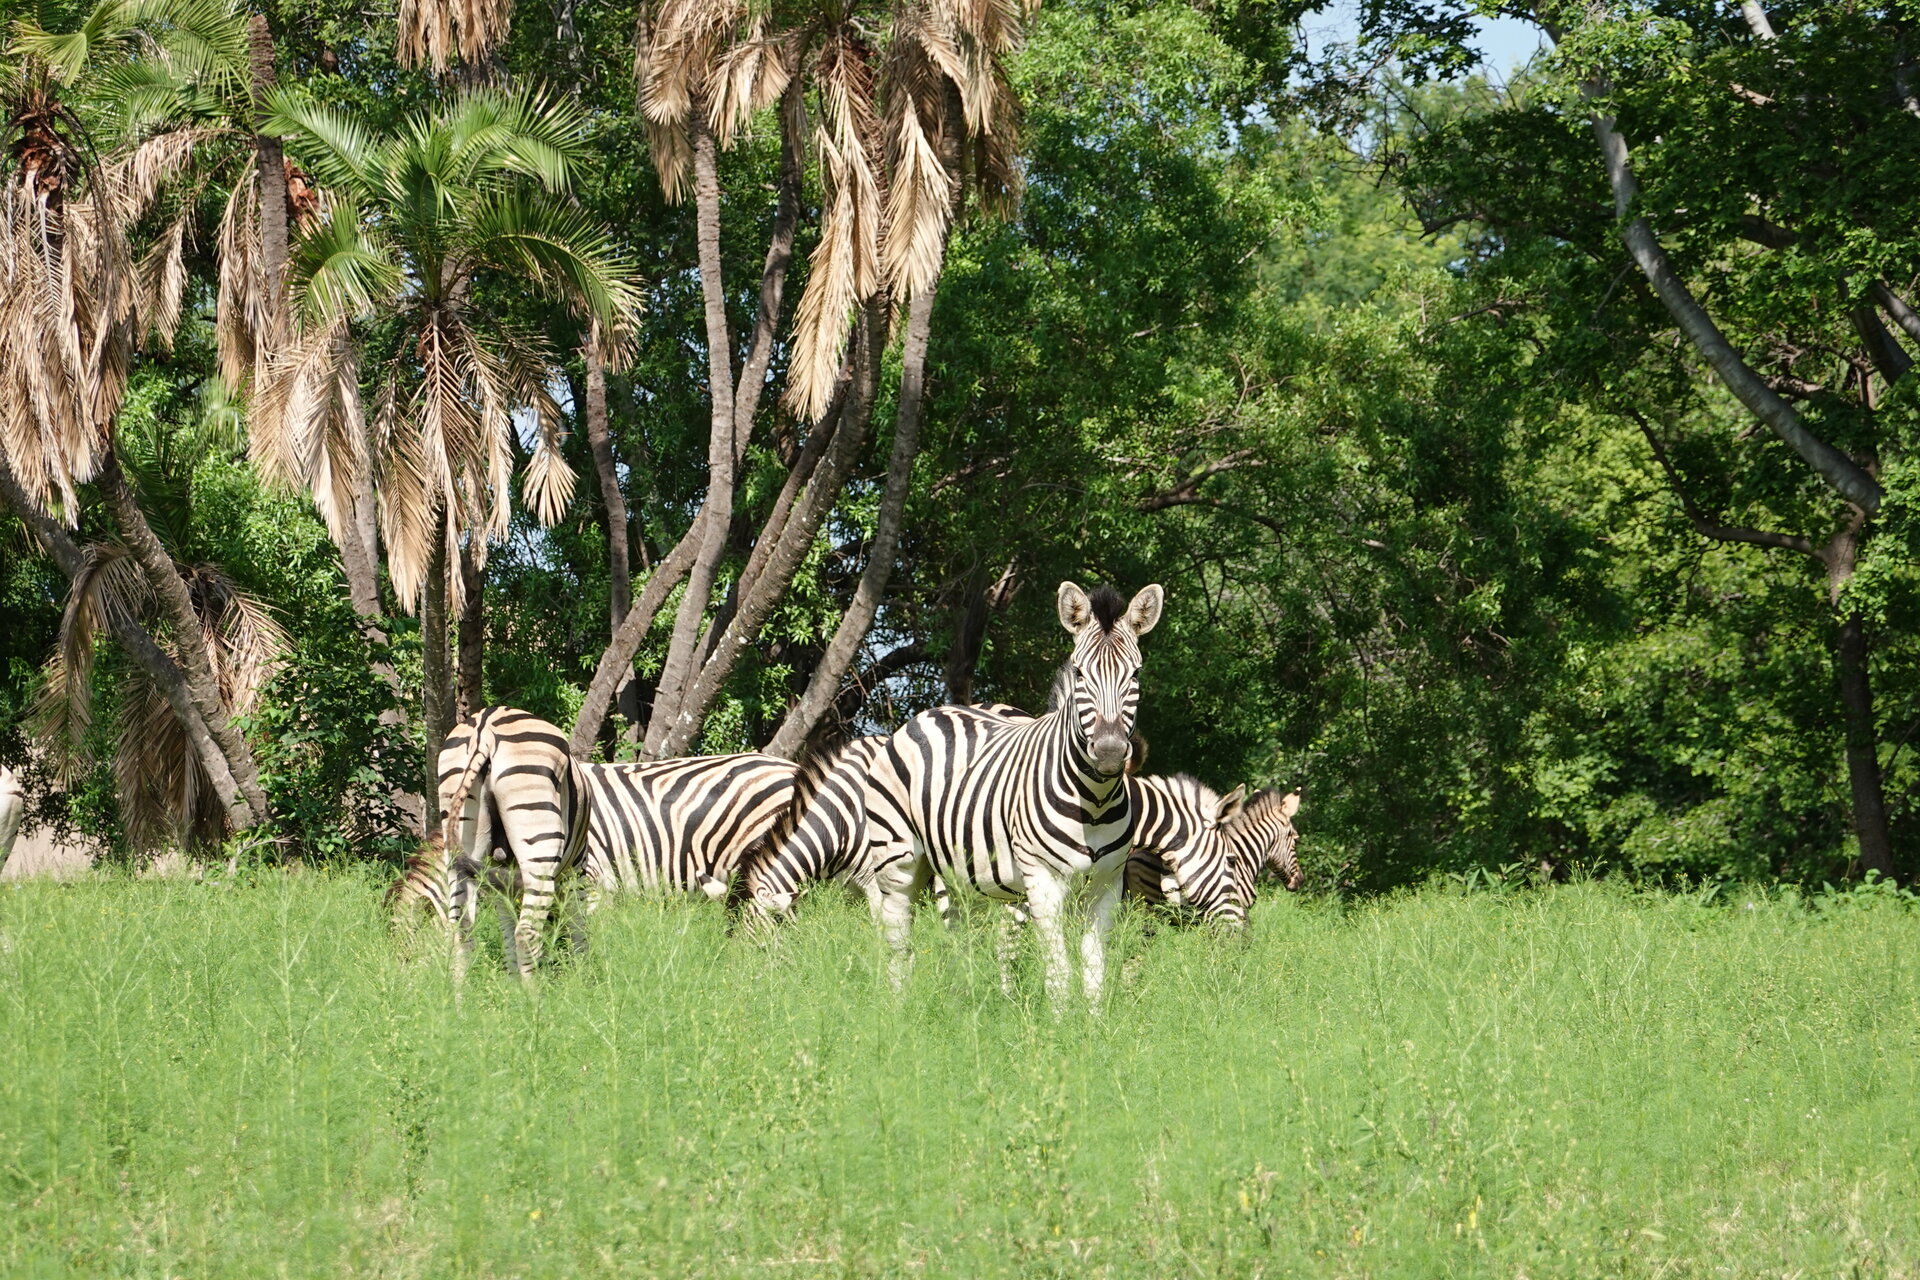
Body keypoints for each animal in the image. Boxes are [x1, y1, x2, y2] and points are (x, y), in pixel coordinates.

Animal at [875, 583, 1159, 1013]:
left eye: (1136, 673)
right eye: (1080, 673)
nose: (1110, 752)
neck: (1093, 803)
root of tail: (941, 709)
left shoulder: (1107, 886)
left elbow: (1095, 969)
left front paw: (1094, 1025)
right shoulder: (1042, 882)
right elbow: (1058, 969)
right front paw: (1060, 1025)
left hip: (963, 875)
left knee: (961, 937)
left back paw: (965, 1007)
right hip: (899, 860)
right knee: (898, 941)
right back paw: (898, 1011)